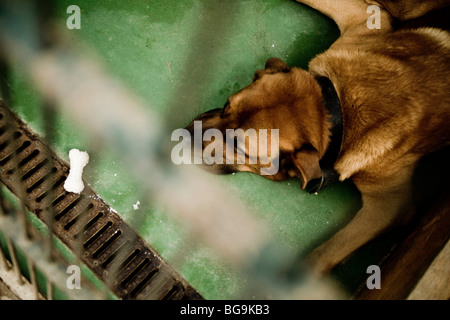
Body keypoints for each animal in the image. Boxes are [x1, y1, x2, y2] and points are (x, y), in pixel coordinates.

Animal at [184, 0, 450, 276]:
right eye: (227, 105)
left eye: (240, 147)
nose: (185, 134)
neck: (336, 110)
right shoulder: (364, 19)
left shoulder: (389, 207)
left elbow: (324, 254)